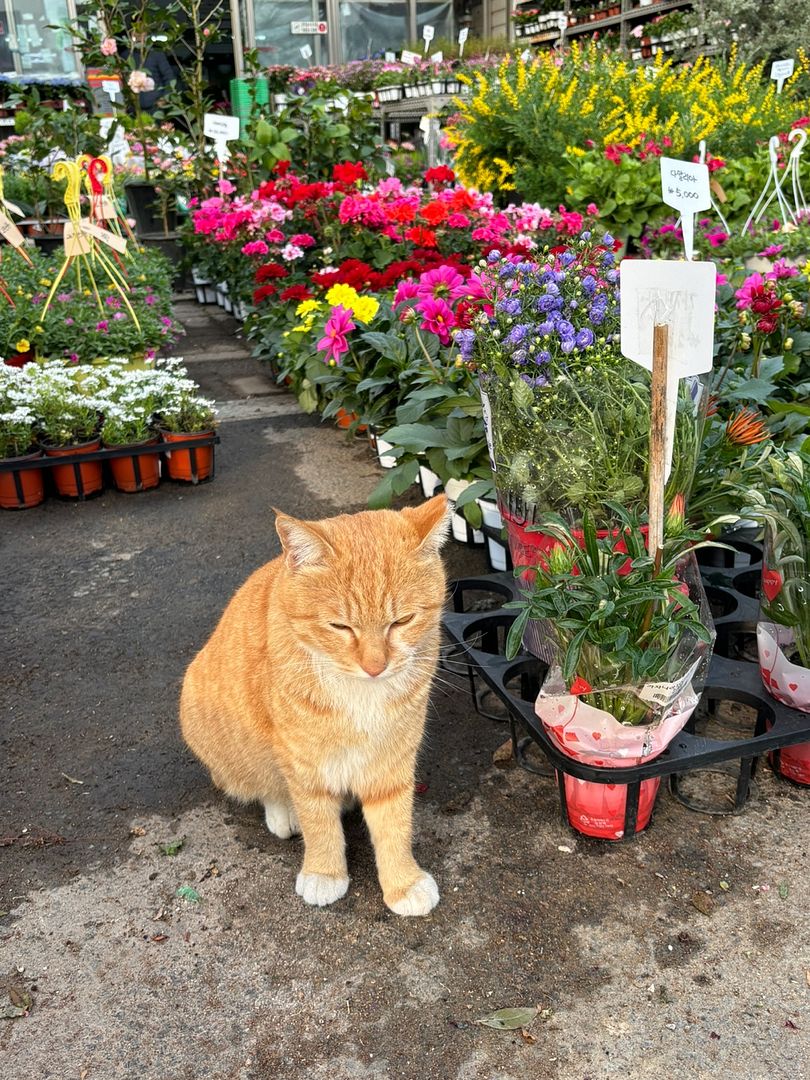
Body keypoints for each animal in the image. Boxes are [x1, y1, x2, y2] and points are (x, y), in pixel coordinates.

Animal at [179, 494, 451, 911]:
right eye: (340, 626)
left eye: (402, 621)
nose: (375, 667)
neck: (360, 691)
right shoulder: (305, 762)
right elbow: (317, 820)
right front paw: (325, 872)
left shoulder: (392, 758)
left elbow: (394, 823)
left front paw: (403, 883)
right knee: (262, 785)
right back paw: (282, 812)